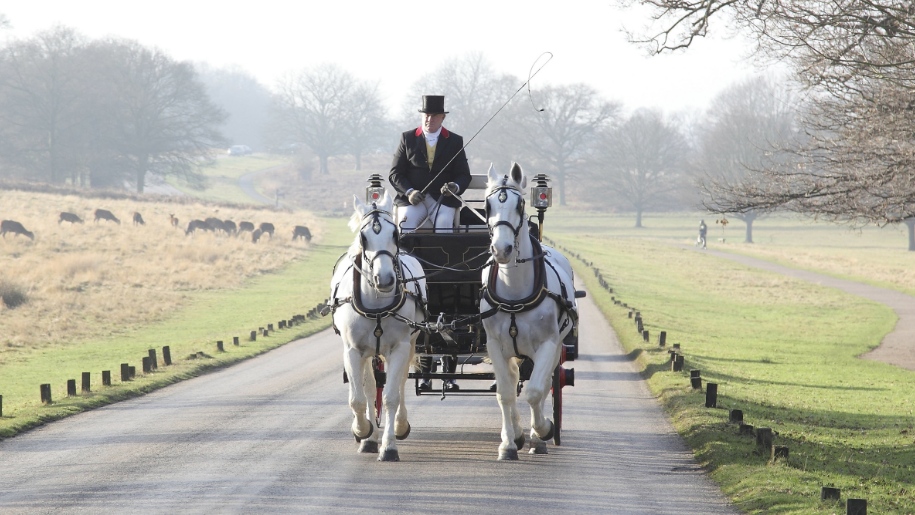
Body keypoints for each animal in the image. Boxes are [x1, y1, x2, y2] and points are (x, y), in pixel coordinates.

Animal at [330, 192, 430, 464]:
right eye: (363, 237)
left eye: (395, 234)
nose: (384, 279)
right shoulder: (352, 350)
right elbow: (358, 398)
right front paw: (362, 430)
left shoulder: (399, 348)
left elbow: (391, 396)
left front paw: (390, 447)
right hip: (367, 353)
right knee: (368, 386)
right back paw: (369, 437)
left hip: (409, 344)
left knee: (401, 382)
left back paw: (399, 425)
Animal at [480, 163, 580, 462]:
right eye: (487, 205)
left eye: (520, 204)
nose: (501, 249)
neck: (515, 291)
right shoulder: (495, 345)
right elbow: (505, 392)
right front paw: (509, 443)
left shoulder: (548, 344)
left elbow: (536, 390)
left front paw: (543, 430)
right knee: (513, 382)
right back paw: (516, 432)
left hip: (554, 346)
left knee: (544, 385)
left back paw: (538, 436)